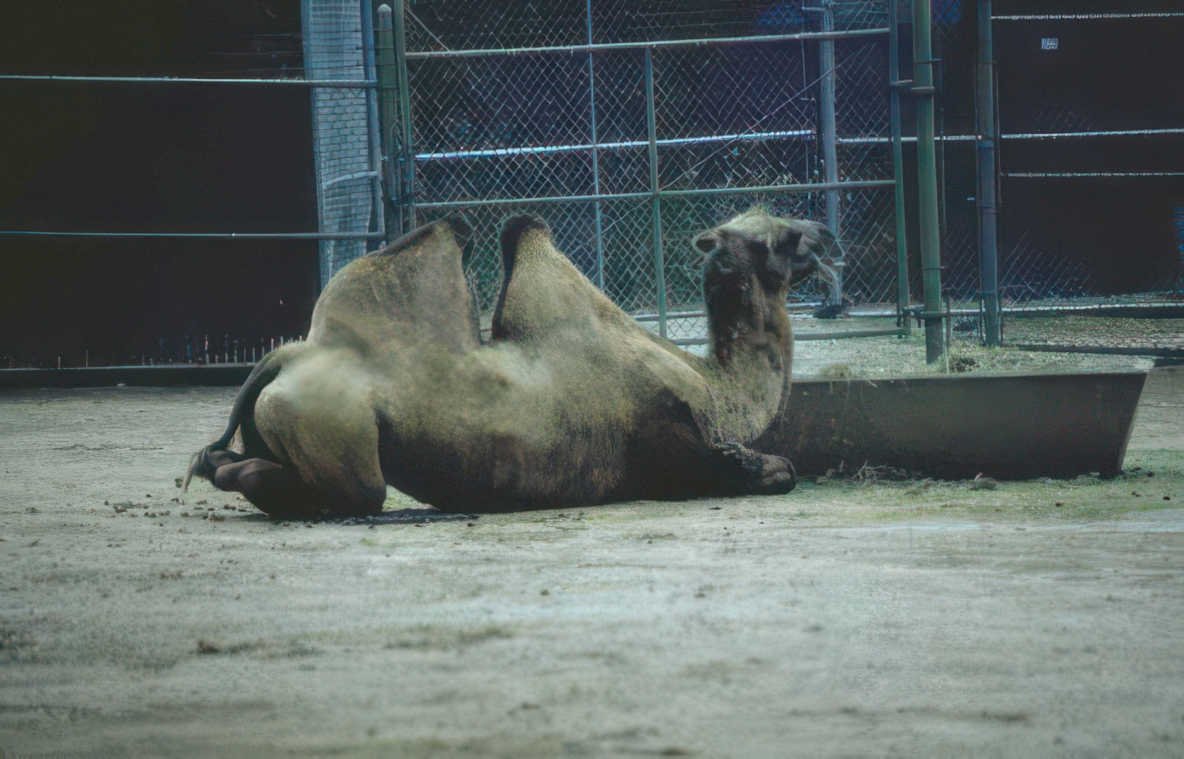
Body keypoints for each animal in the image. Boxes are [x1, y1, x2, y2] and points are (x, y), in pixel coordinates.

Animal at [185, 209, 838, 517]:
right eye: (780, 239)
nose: (824, 229)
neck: (714, 386)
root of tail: (288, 356)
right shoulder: (673, 439)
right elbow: (778, 470)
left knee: (234, 463)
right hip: (332, 425)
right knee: (356, 492)